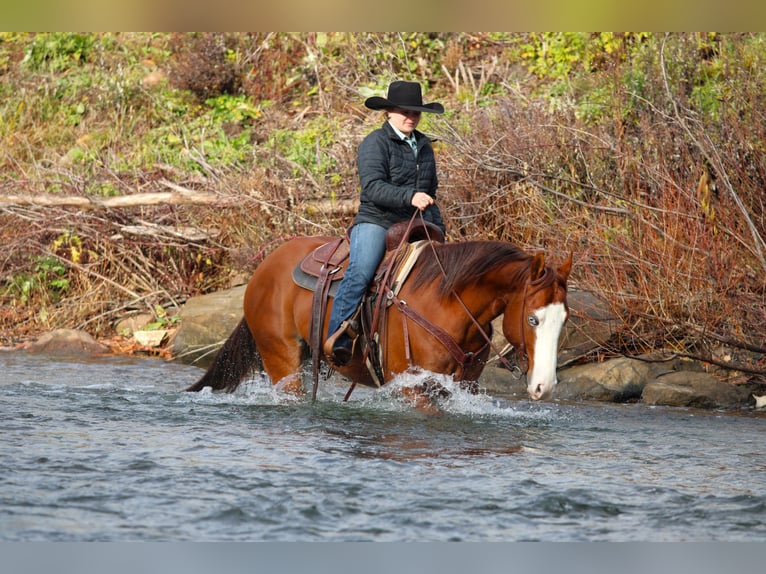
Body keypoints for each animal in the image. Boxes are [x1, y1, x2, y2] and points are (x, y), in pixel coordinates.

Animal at [185, 235, 573, 408]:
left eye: (563, 320)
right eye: (533, 319)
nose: (545, 386)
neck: (448, 303)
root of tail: (264, 267)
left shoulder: (459, 387)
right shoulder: (410, 387)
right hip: (281, 360)